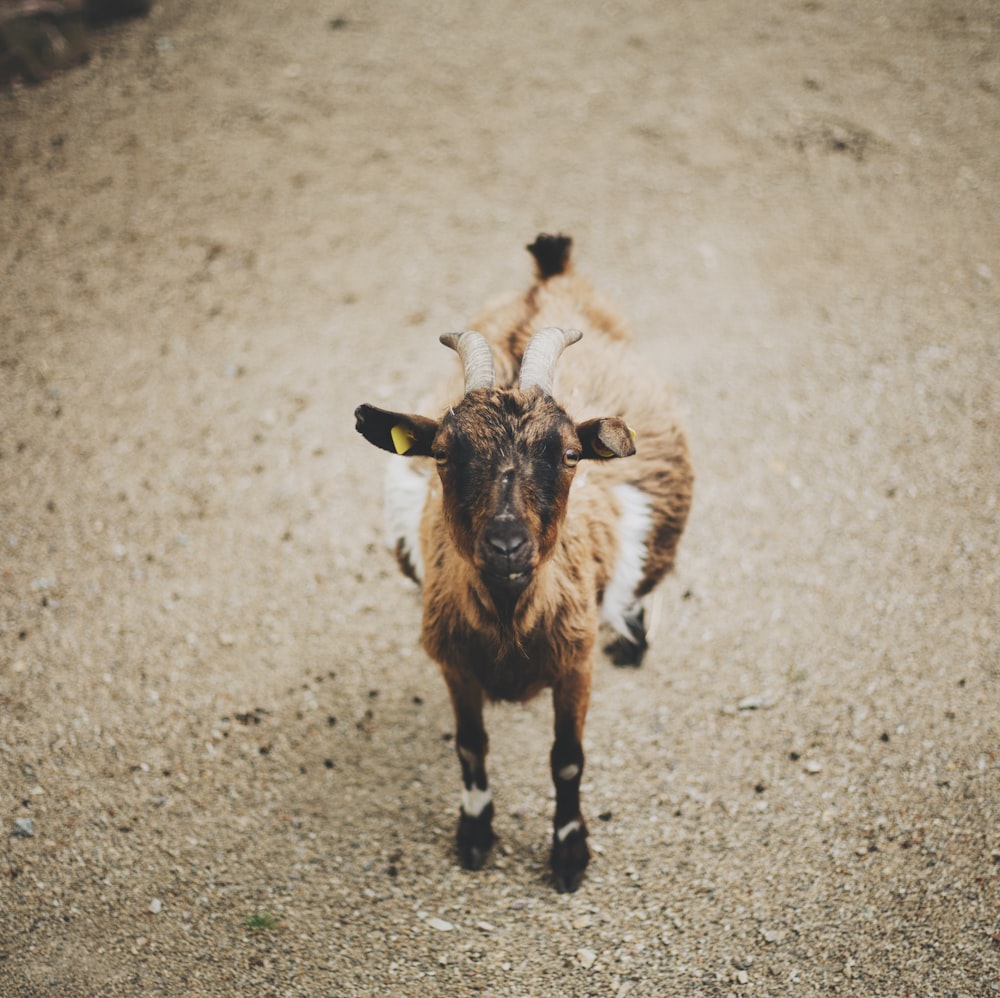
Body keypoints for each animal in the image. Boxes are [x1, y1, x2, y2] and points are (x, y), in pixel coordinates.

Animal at [356, 238, 692, 896]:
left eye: (570, 453)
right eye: (442, 453)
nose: (507, 544)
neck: (510, 619)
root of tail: (550, 273)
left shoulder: (575, 663)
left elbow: (567, 759)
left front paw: (569, 854)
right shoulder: (454, 663)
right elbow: (470, 746)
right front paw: (475, 835)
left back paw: (634, 637)